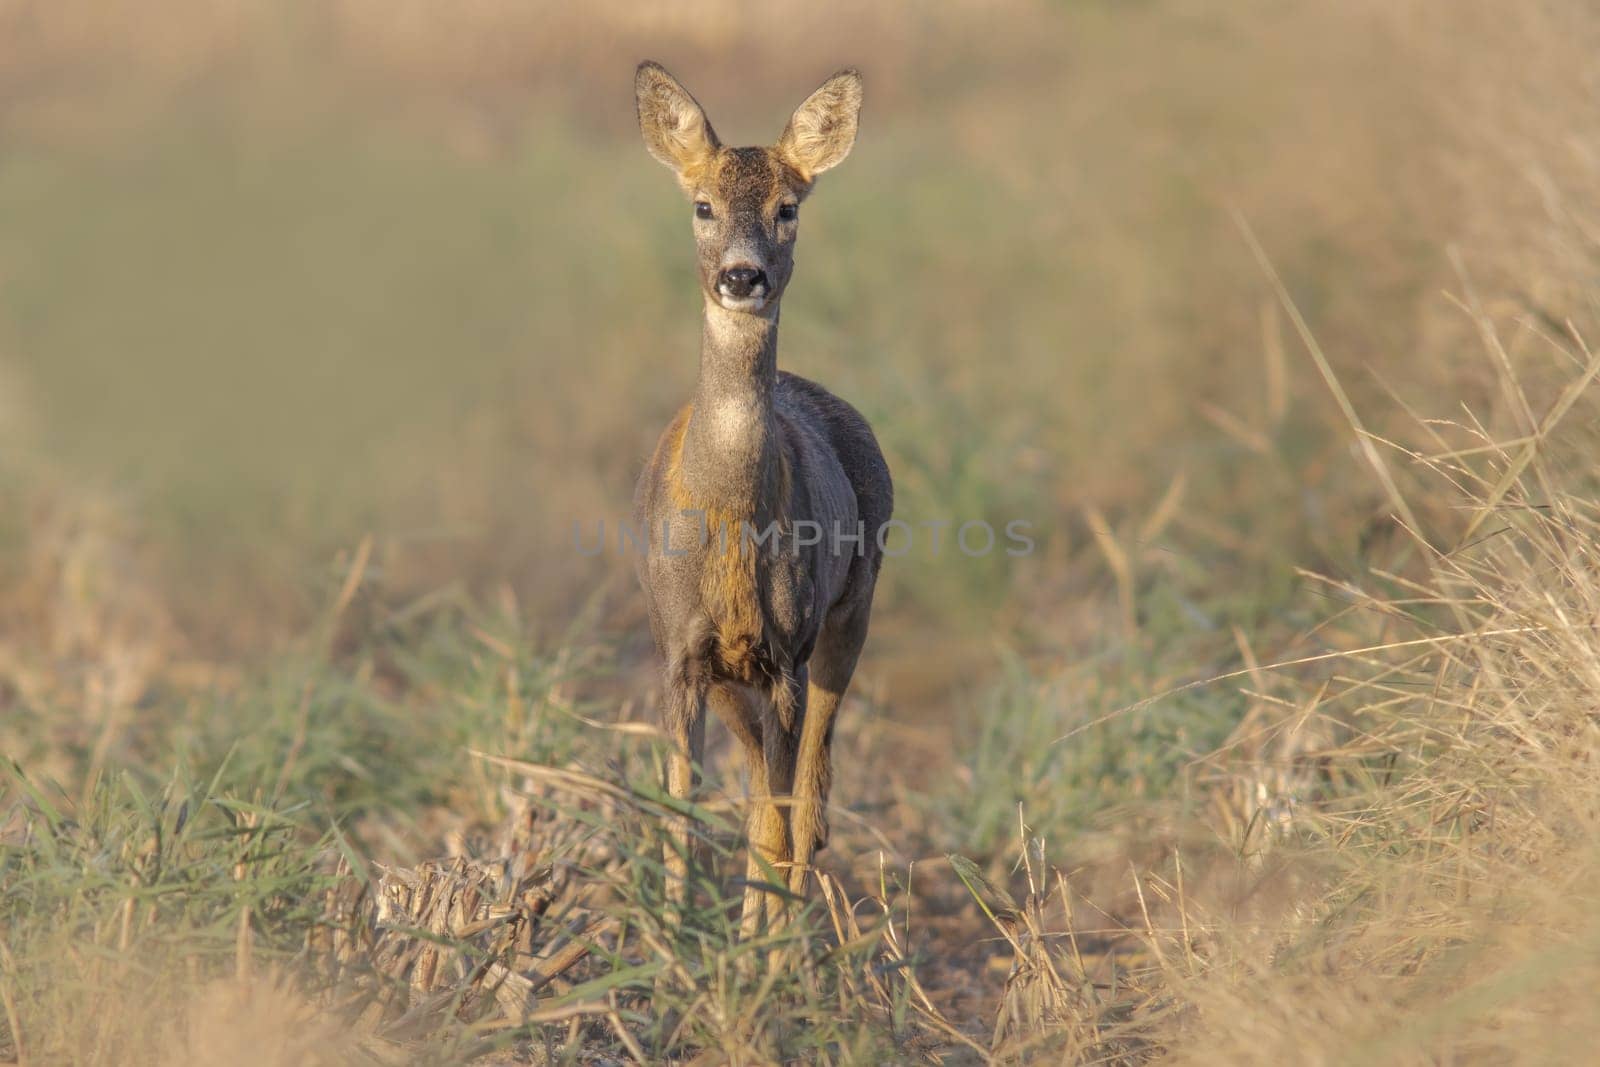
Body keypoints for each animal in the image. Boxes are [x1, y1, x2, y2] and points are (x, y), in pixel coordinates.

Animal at [630, 60, 896, 934]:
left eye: (788, 207)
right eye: (701, 205)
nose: (742, 276)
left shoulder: (788, 653)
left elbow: (783, 821)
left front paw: (761, 953)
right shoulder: (681, 654)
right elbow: (682, 813)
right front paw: (671, 944)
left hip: (849, 615)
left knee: (806, 804)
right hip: (733, 677)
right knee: (766, 799)